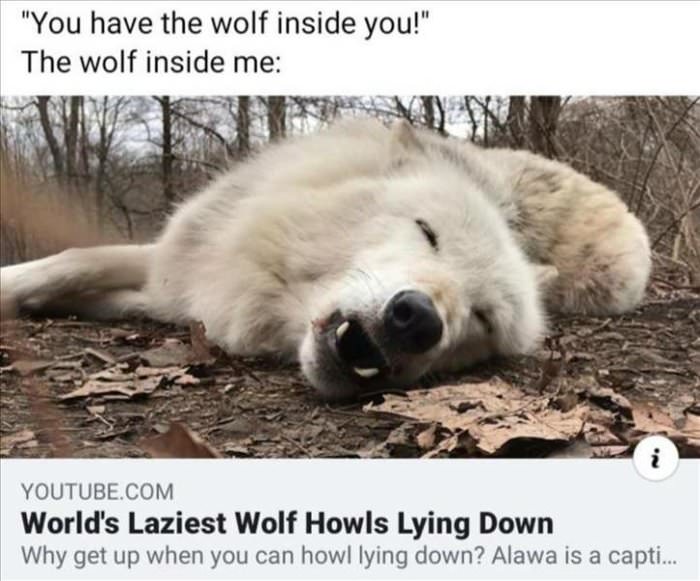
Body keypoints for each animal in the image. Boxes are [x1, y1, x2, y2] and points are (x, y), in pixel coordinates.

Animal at [0, 119, 651, 399]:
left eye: (483, 319)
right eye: (428, 233)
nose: (417, 320)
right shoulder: (180, 271)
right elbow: (74, 259)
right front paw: (16, 287)